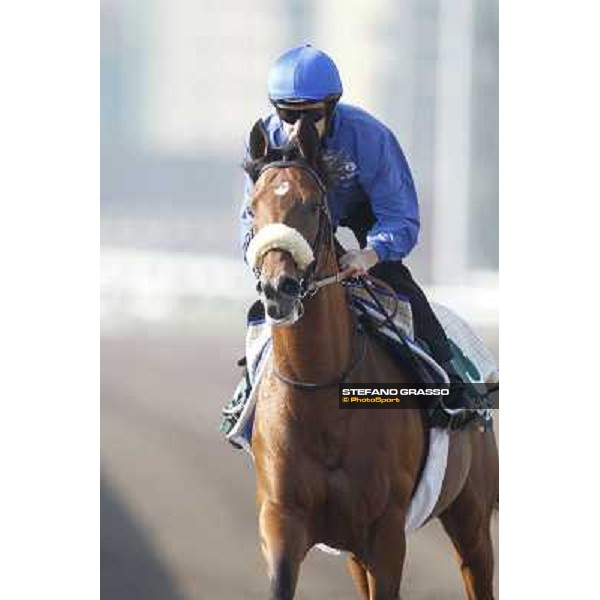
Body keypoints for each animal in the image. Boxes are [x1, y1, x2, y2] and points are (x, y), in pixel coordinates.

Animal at [241, 118, 500, 600]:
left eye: (312, 204)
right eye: (252, 208)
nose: (278, 289)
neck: (322, 388)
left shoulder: (385, 531)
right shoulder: (283, 519)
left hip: (471, 515)